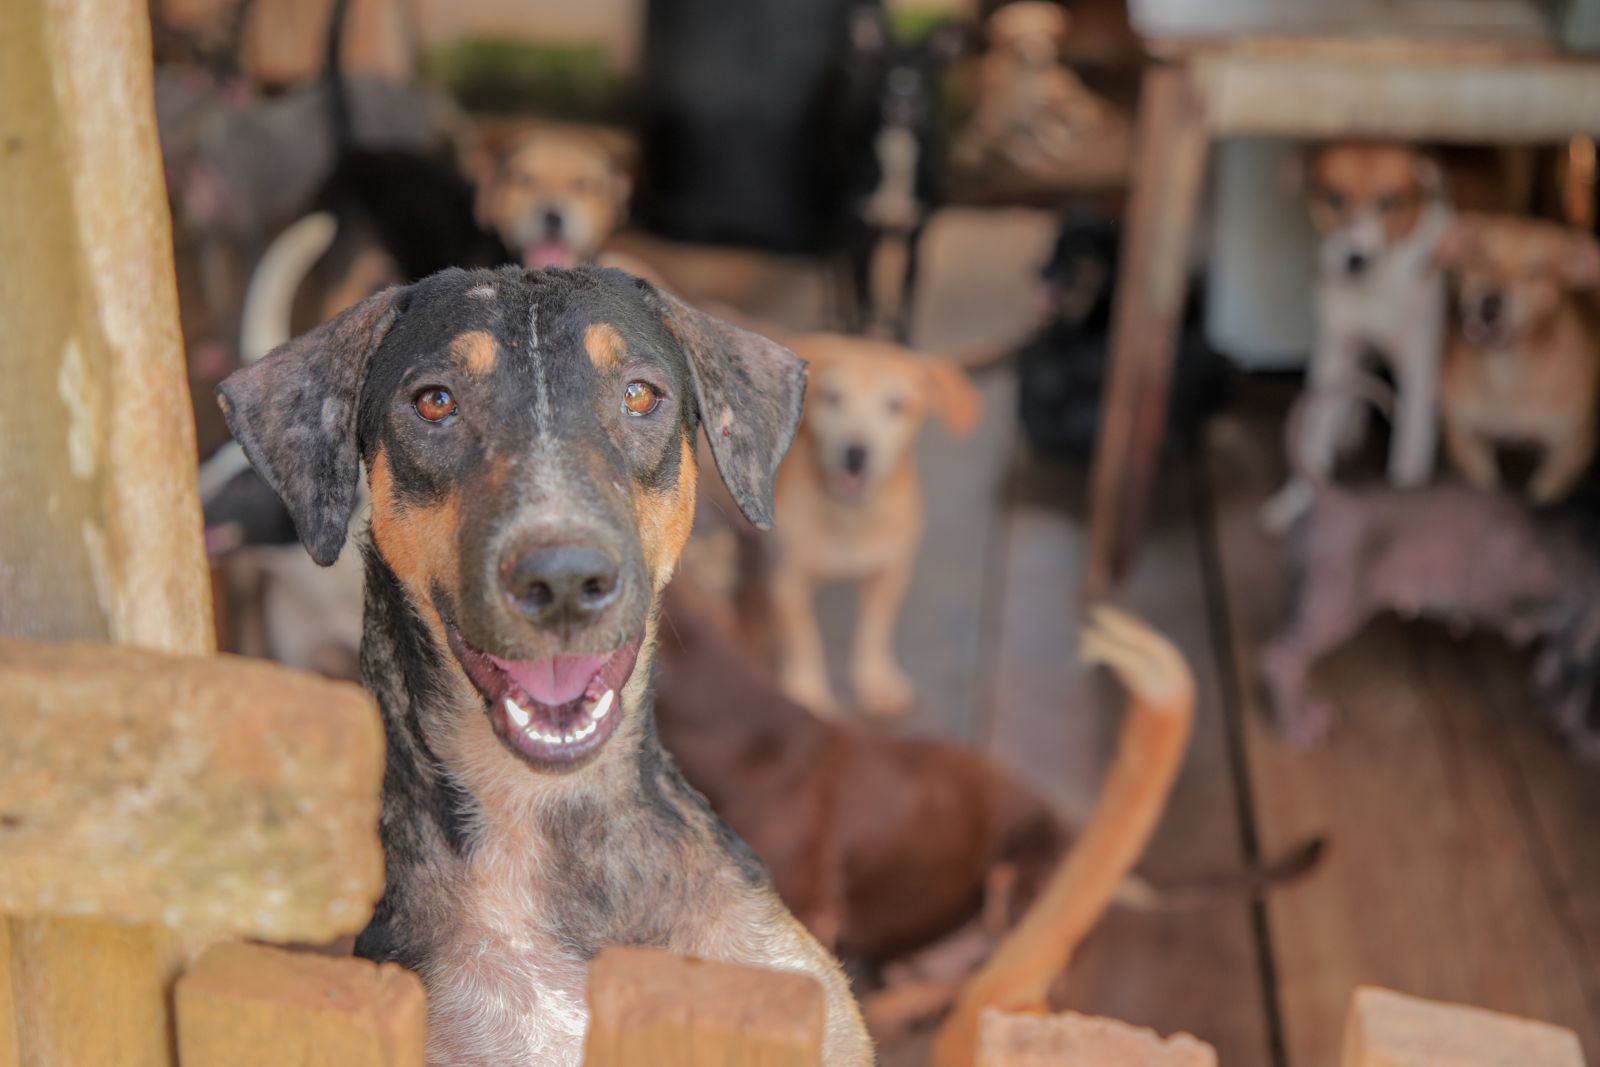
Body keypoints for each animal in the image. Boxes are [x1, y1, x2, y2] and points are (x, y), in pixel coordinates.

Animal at [768, 334, 979, 716]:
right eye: (832, 396)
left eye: (896, 404)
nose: (855, 453)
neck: (852, 516)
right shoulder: (786, 582)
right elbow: (805, 639)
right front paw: (808, 693)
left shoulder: (890, 574)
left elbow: (874, 632)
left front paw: (875, 681)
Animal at [1267, 143, 1459, 527]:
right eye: (1334, 197)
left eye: (1389, 201)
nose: (1357, 259)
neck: (1374, 290)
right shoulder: (1334, 350)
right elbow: (1312, 436)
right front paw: (1296, 499)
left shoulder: (1419, 363)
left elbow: (1409, 445)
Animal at [1440, 214, 1600, 508]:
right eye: (1479, 256)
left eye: (1537, 270)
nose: (1490, 302)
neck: (1508, 371)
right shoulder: (1465, 439)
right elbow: (1484, 485)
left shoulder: (1570, 452)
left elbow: (1542, 493)